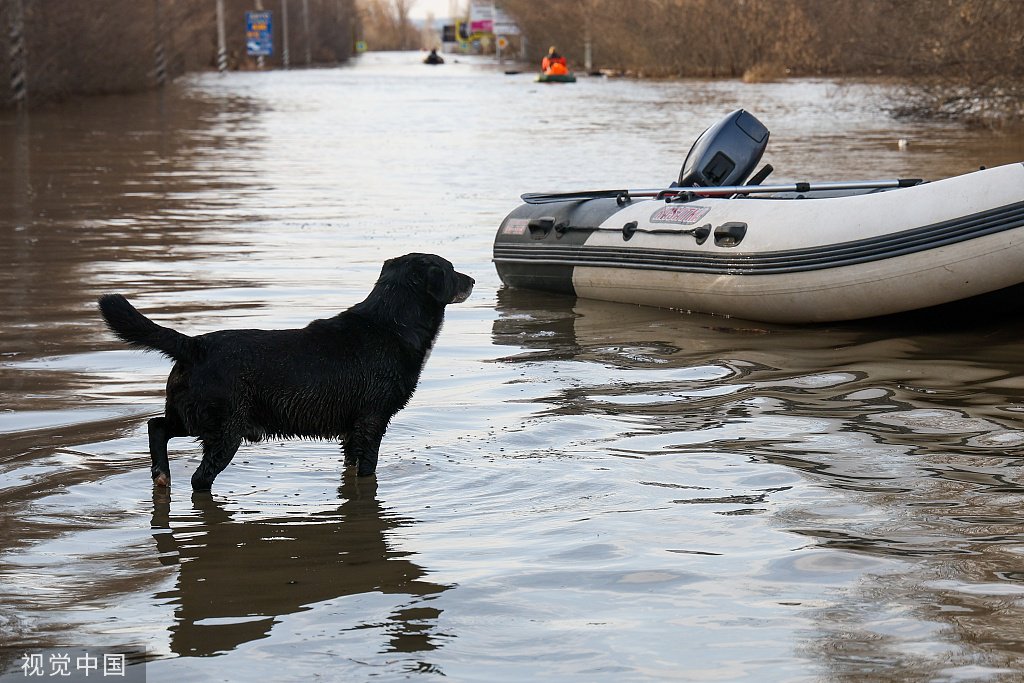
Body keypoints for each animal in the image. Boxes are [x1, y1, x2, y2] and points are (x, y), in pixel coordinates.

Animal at [97, 253, 473, 489]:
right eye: (451, 269)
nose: (472, 279)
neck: (391, 324)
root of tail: (194, 344)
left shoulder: (352, 431)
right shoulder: (371, 421)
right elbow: (367, 470)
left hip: (192, 415)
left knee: (157, 426)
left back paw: (162, 476)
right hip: (225, 429)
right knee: (198, 478)